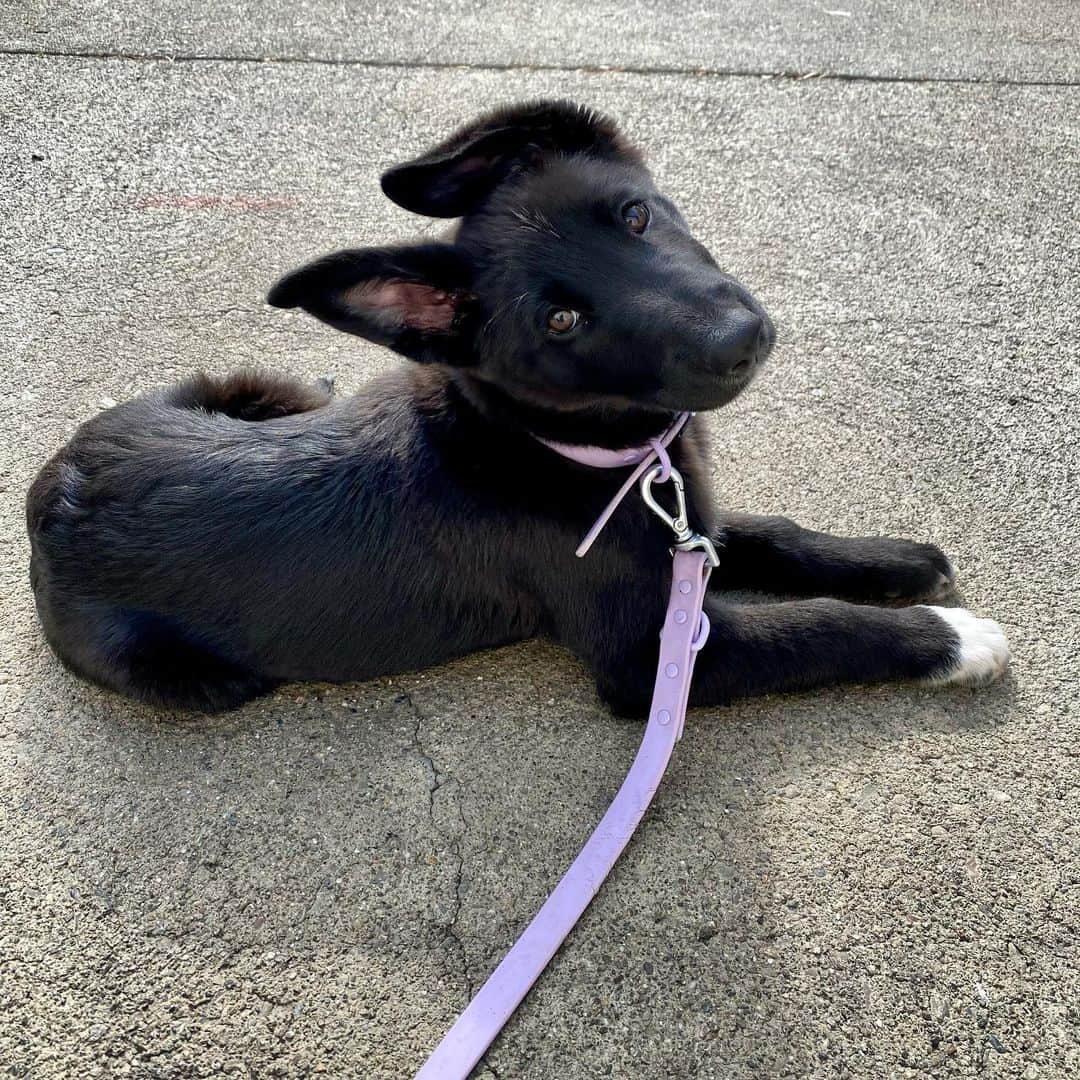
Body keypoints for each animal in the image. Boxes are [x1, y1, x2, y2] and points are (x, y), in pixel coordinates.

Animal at [25, 97, 1006, 712]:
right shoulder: (651, 657)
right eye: (562, 321)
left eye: (635, 216)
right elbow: (818, 627)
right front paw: (952, 638)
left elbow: (778, 536)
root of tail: (50, 491)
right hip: (184, 675)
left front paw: (892, 560)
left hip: (226, 387)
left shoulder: (687, 524)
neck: (559, 446)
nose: (741, 339)